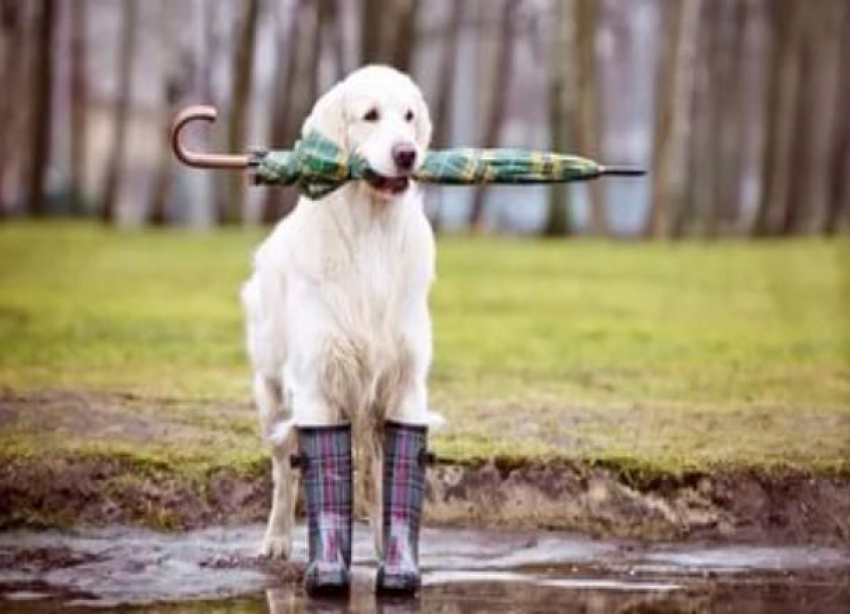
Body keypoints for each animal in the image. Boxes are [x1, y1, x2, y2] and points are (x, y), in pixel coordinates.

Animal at [237, 66, 438, 564]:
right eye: (370, 115)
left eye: (409, 116)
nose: (407, 154)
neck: (371, 232)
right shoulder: (318, 381)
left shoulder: (405, 383)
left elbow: (390, 479)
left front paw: (397, 557)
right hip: (271, 394)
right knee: (285, 472)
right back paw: (276, 540)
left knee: (369, 474)